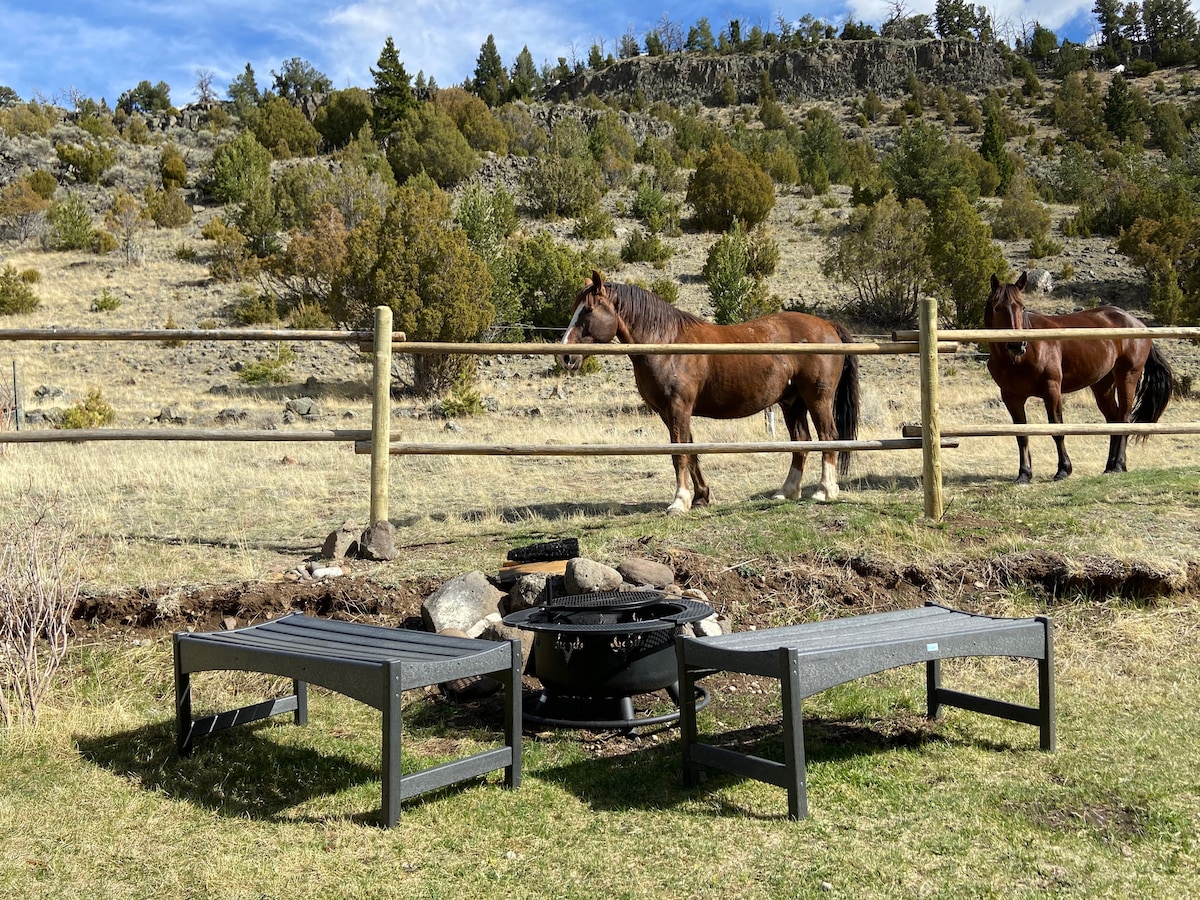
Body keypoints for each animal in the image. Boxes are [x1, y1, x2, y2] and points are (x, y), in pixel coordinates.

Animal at [556, 271, 859, 513]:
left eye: (588, 311)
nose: (566, 356)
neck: (666, 343)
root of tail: (828, 326)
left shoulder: (678, 408)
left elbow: (679, 454)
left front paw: (679, 502)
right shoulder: (670, 413)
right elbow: (691, 452)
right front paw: (701, 497)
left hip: (817, 399)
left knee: (827, 437)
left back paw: (824, 491)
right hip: (792, 402)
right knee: (801, 442)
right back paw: (787, 492)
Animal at [988, 271, 1176, 487]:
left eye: (1022, 307)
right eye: (997, 307)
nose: (1017, 345)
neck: (1018, 359)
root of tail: (1138, 324)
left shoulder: (1051, 391)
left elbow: (1057, 429)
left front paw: (1063, 470)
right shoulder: (1012, 398)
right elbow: (1022, 436)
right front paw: (1024, 474)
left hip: (1127, 378)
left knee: (1124, 418)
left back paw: (1119, 465)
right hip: (1103, 386)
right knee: (1113, 420)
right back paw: (1110, 466)